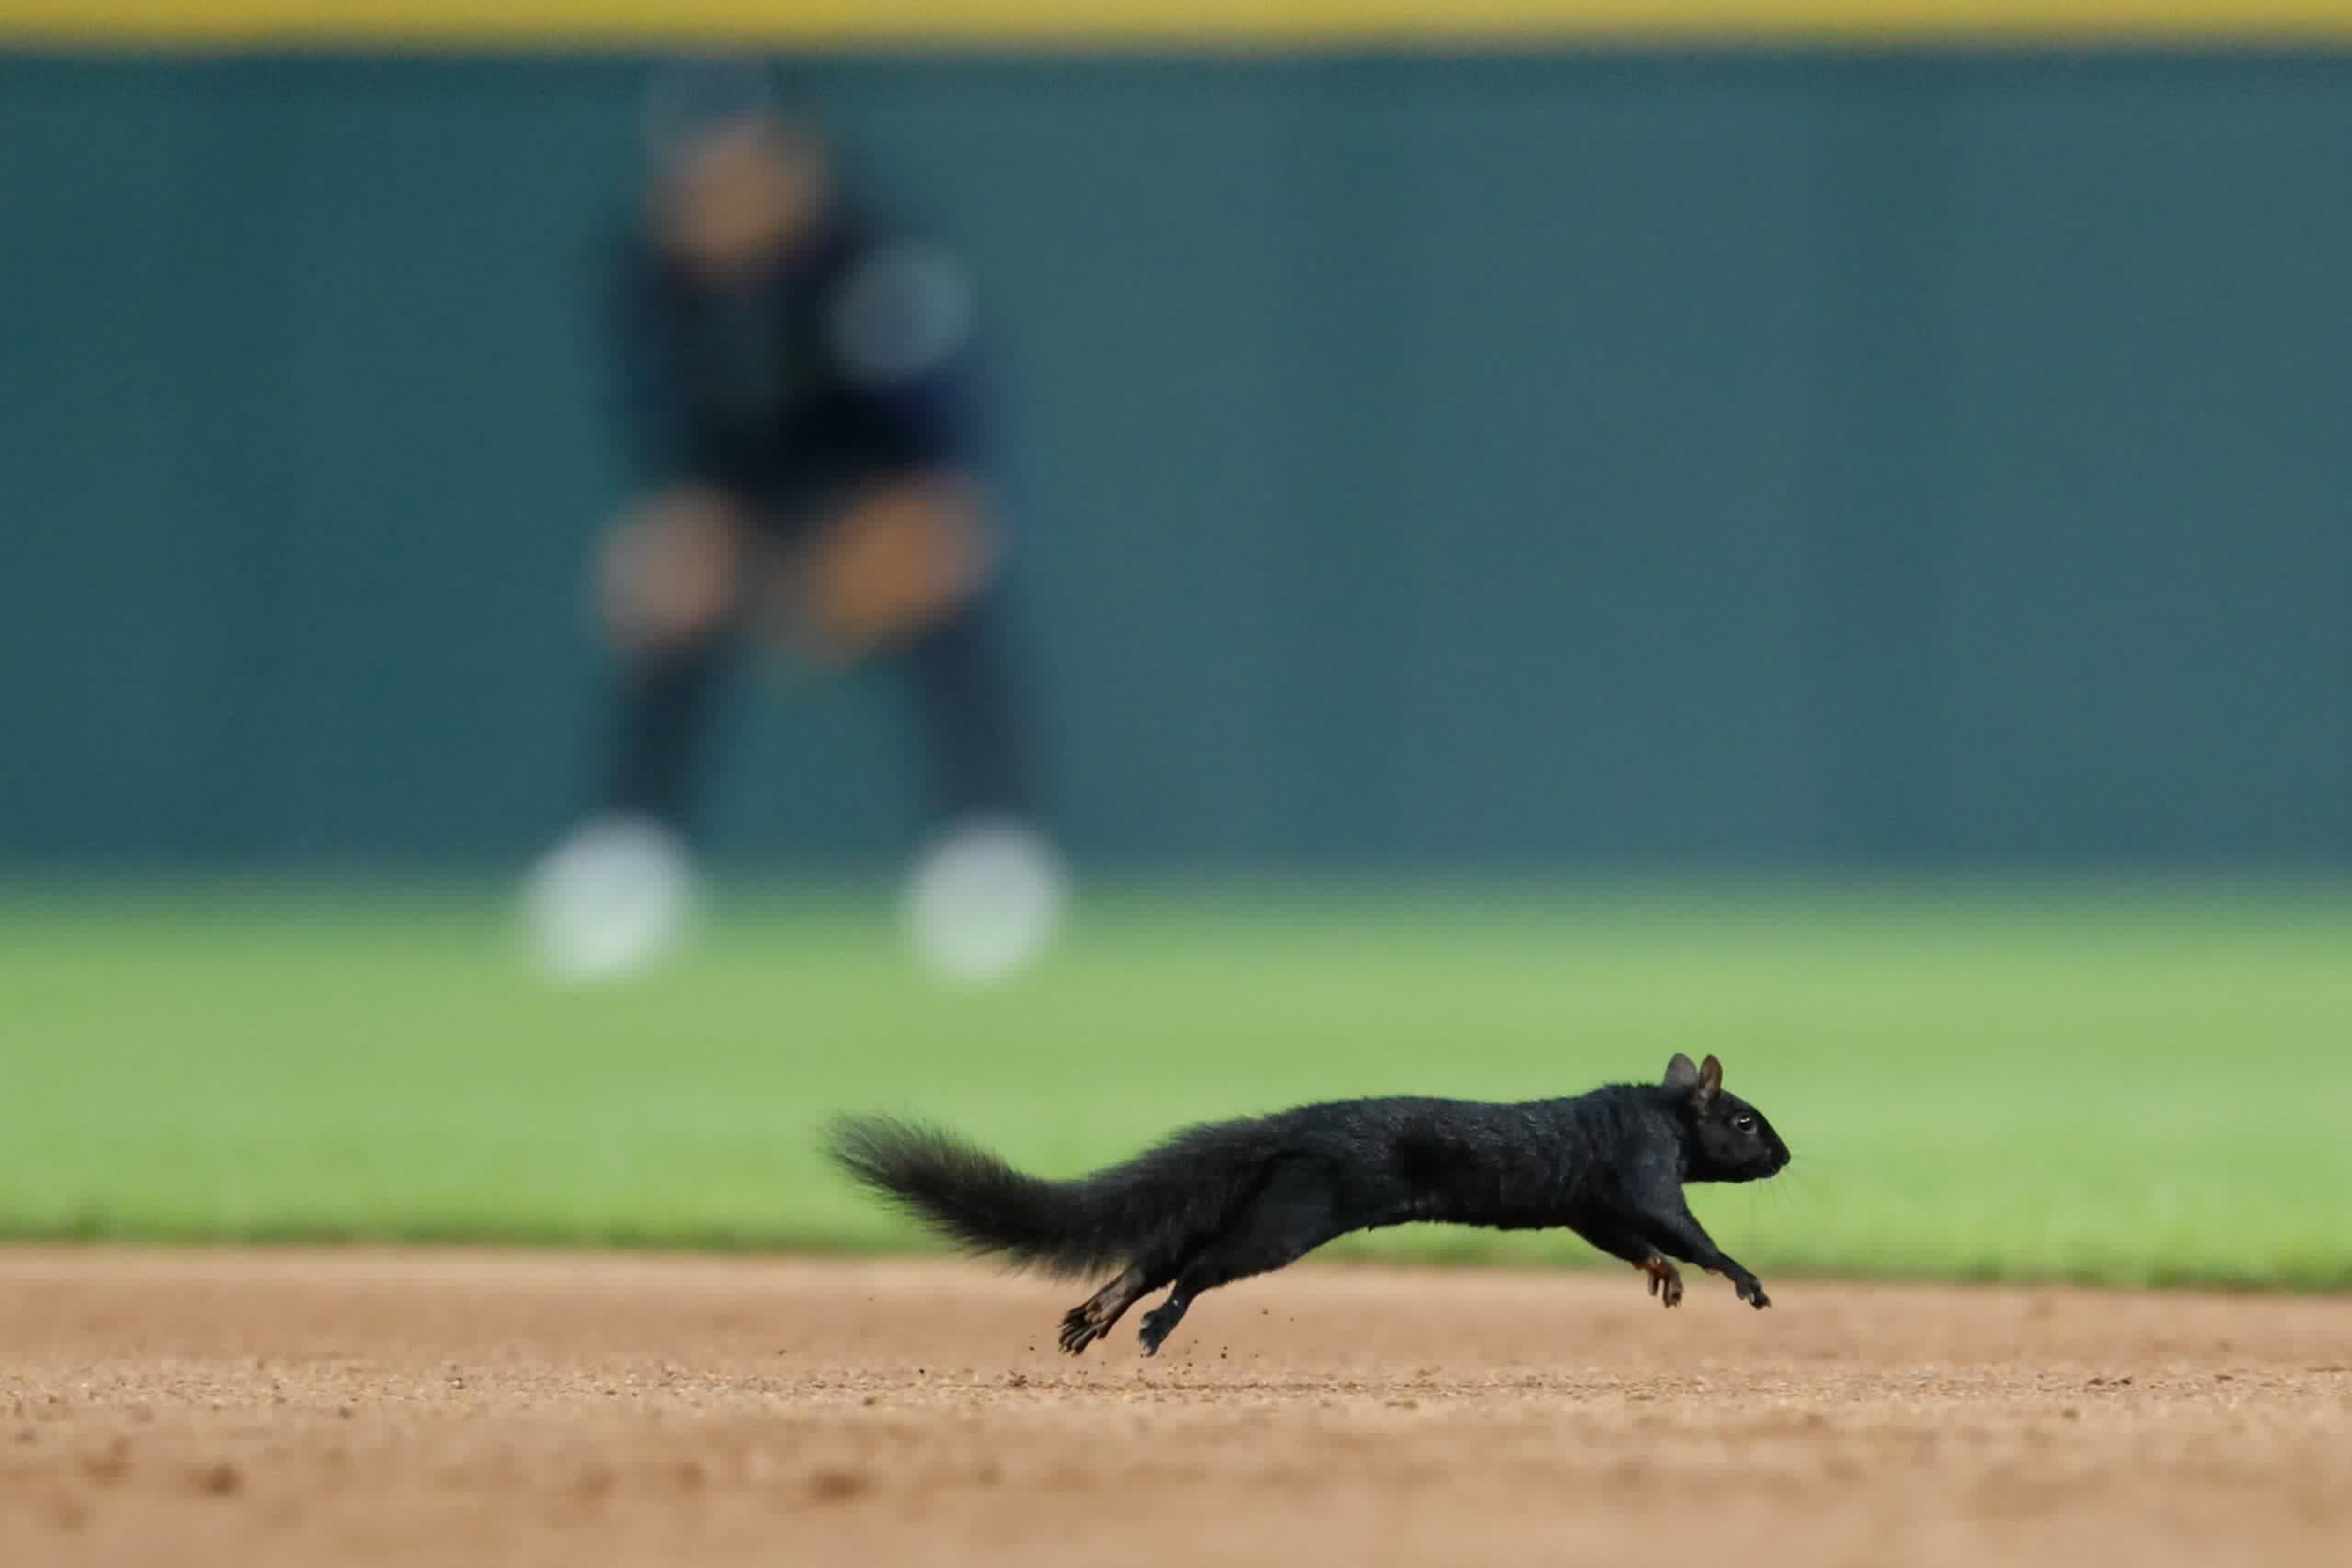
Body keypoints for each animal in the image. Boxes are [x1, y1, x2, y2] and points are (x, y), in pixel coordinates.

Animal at [827, 1052, 1791, 1356]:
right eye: (1746, 1119)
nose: (1786, 1155)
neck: (1658, 1111)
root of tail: (1294, 1127)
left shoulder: (1591, 1202)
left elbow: (1626, 1238)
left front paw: (1662, 1277)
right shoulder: (1643, 1169)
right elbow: (1683, 1227)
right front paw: (1744, 1281)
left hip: (1263, 1202)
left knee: (1161, 1249)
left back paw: (1096, 1314)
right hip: (1291, 1216)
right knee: (1196, 1266)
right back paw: (1153, 1324)